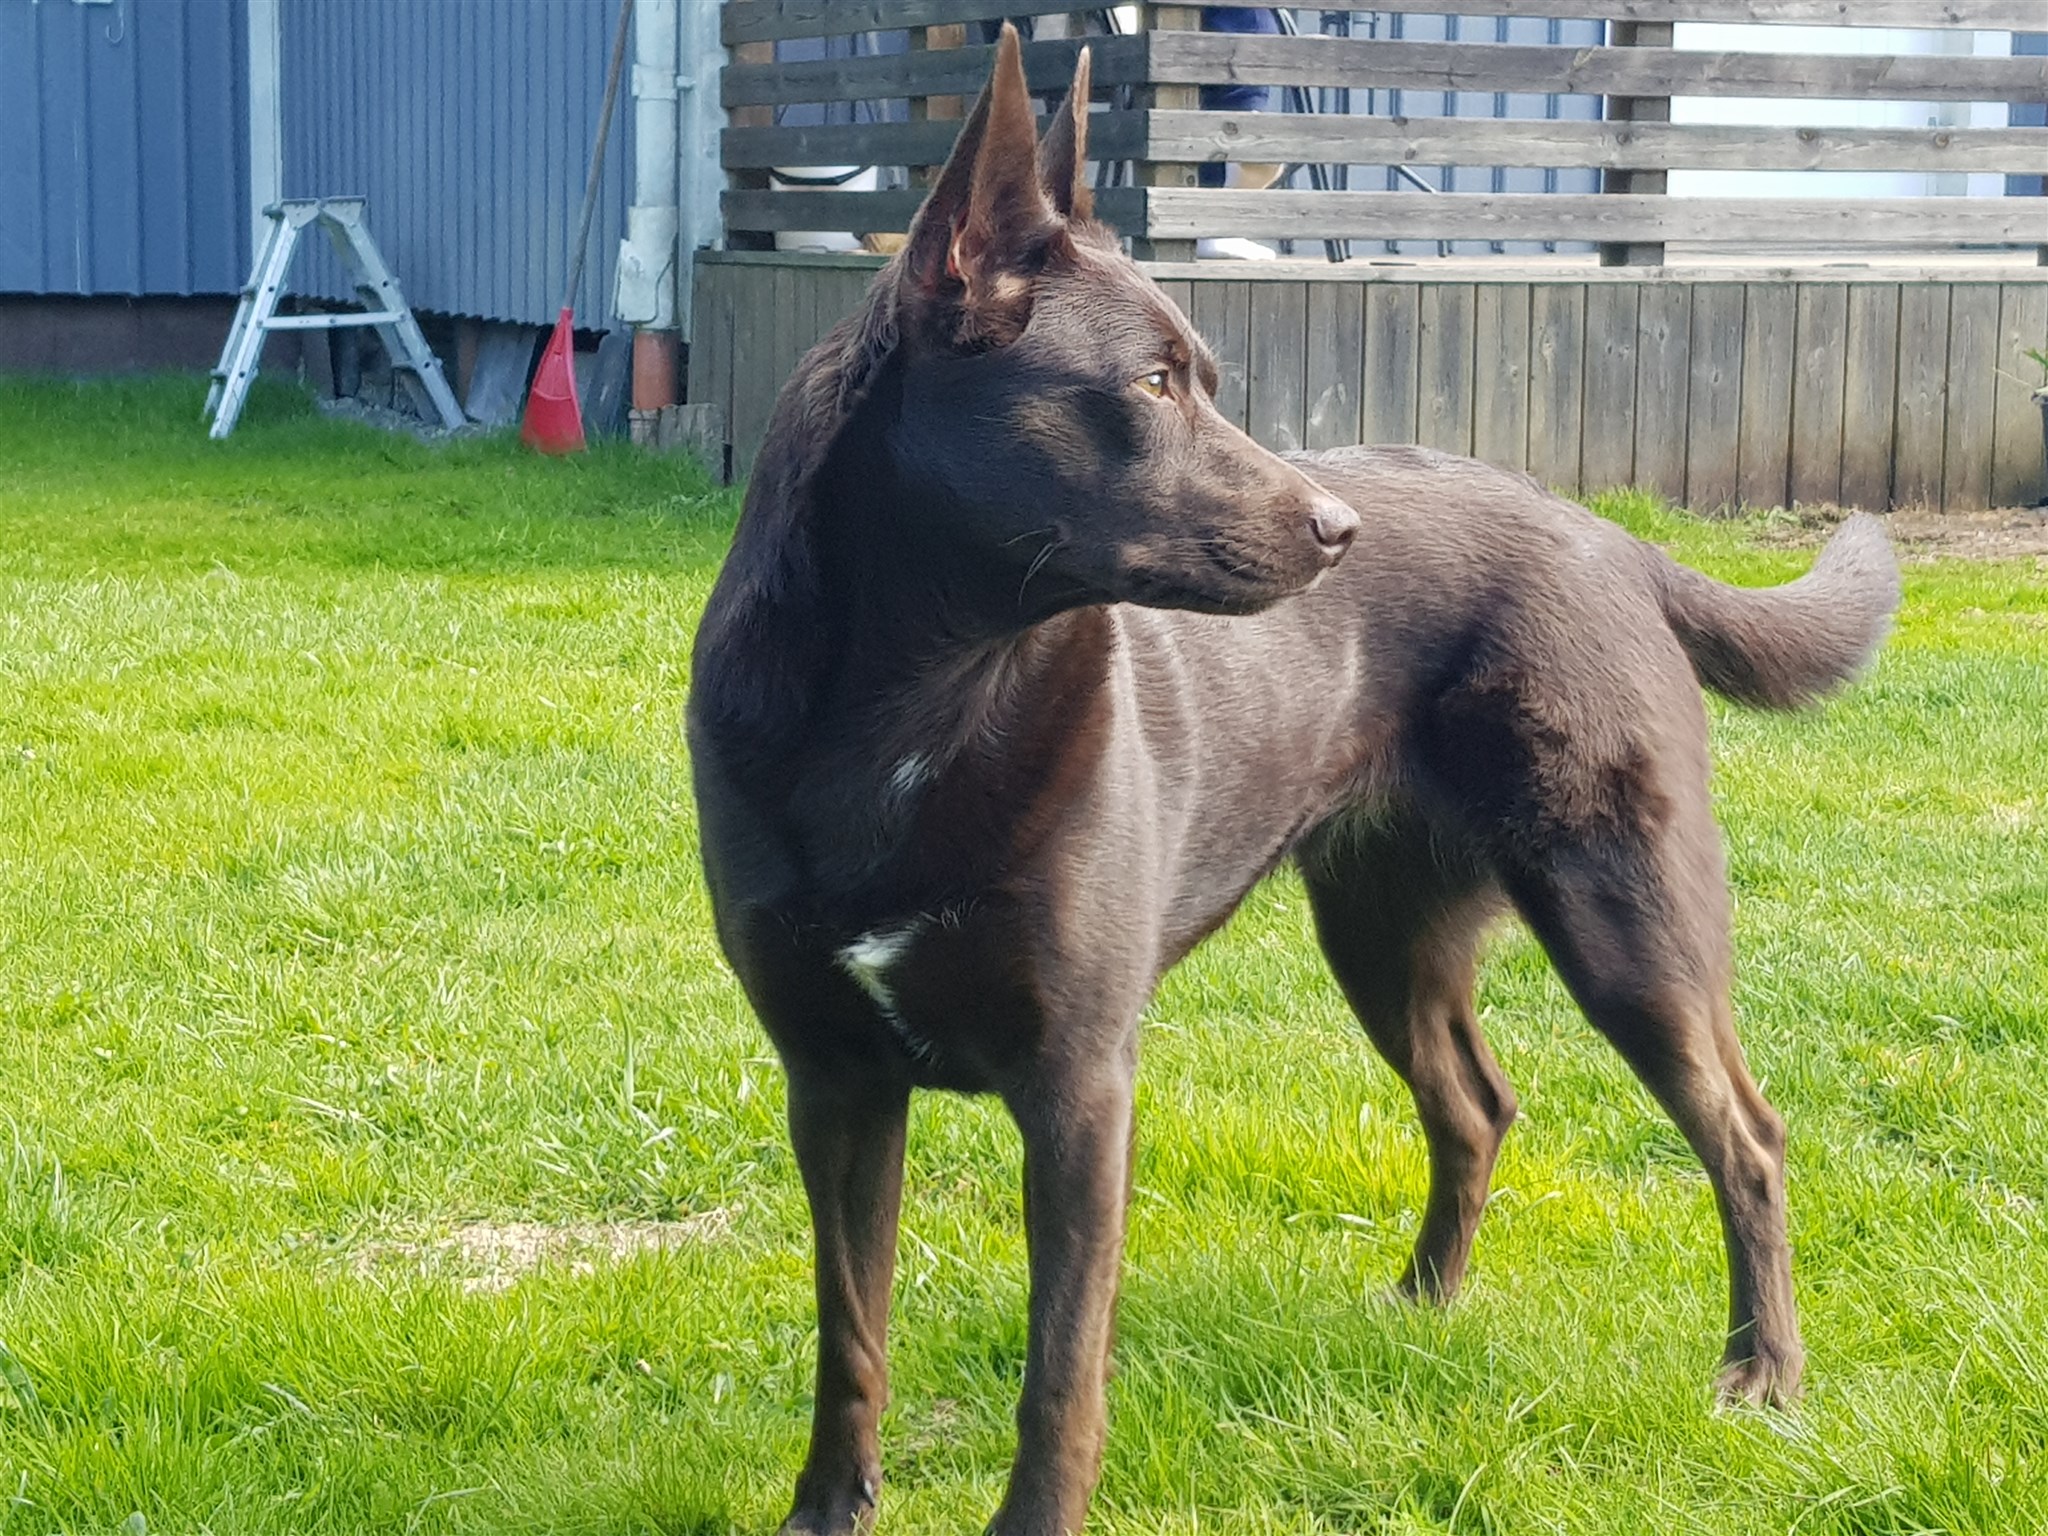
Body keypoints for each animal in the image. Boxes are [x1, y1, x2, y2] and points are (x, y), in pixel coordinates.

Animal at [687, 30, 1899, 1536]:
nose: (1340, 531)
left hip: (1628, 924)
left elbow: (1057, 1370)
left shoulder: (1079, 1088)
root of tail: (1603, 534)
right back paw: (1425, 1307)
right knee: (1477, 1107)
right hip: (1385, 934)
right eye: (1153, 387)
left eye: (1201, 376)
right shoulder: (834, 1082)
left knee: (1748, 1134)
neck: (921, 702)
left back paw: (1761, 1373)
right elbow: (849, 1331)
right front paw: (824, 1512)